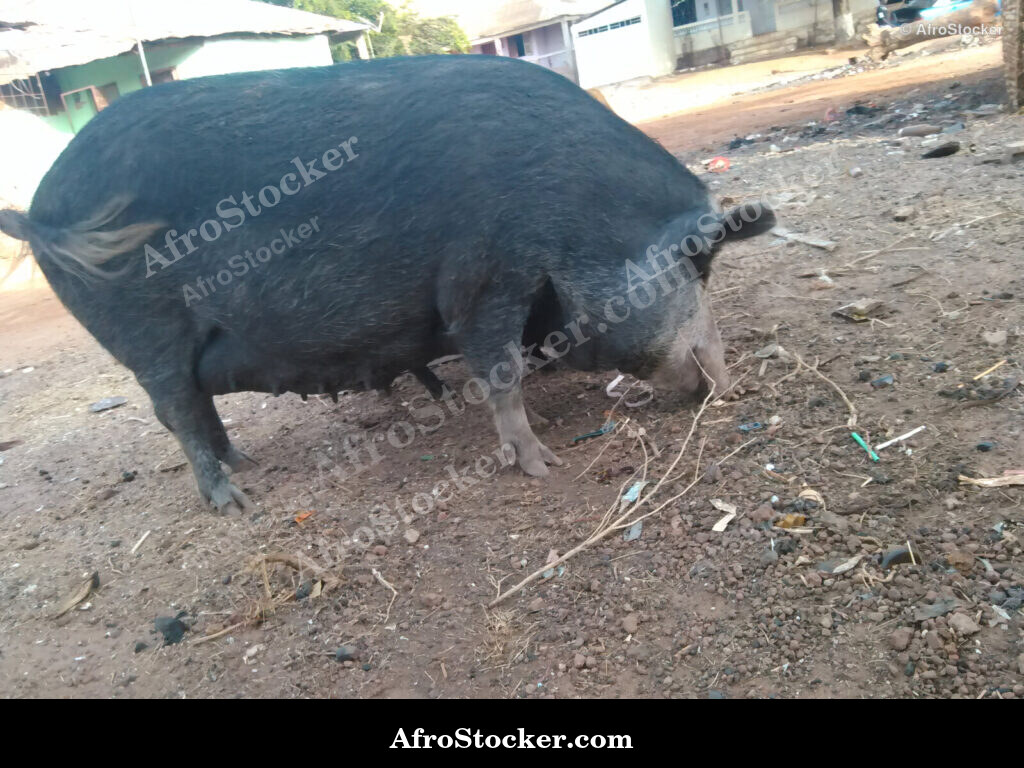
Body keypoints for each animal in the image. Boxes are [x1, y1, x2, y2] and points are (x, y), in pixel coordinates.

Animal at [0, 55, 774, 514]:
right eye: (698, 266)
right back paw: (237, 501)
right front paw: (543, 466)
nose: (727, 381)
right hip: (144, 328)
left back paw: (248, 462)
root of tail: (40, 210)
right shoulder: (485, 277)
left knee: (196, 408)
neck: (578, 217)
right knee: (178, 412)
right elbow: (500, 373)